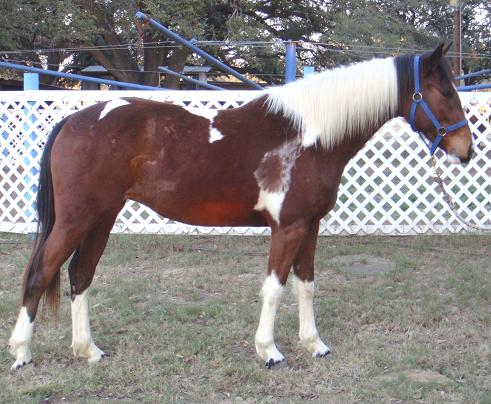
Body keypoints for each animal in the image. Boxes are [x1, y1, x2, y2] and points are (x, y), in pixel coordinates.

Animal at [9, 44, 474, 370]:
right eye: (445, 90)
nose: (466, 150)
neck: (309, 135)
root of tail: (75, 119)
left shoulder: (310, 225)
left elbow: (306, 283)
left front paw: (315, 345)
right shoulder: (288, 226)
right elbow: (275, 286)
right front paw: (269, 351)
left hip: (102, 217)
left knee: (80, 275)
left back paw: (88, 351)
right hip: (77, 219)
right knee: (40, 272)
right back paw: (22, 353)